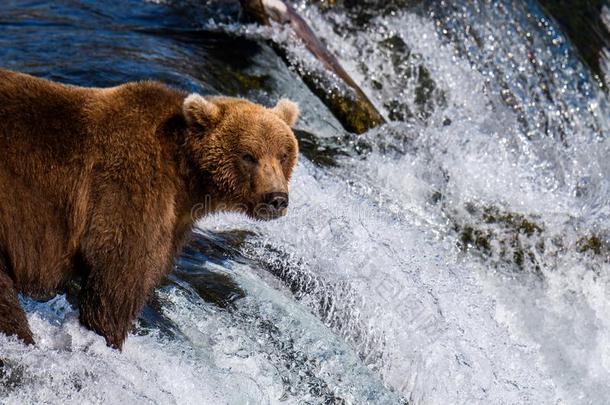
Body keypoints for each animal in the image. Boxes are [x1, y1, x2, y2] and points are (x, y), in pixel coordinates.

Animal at [0, 68, 300, 348]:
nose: (276, 198)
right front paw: (109, 335)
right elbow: (119, 276)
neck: (188, 178)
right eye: (248, 156)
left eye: (283, 154)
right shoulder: (130, 189)